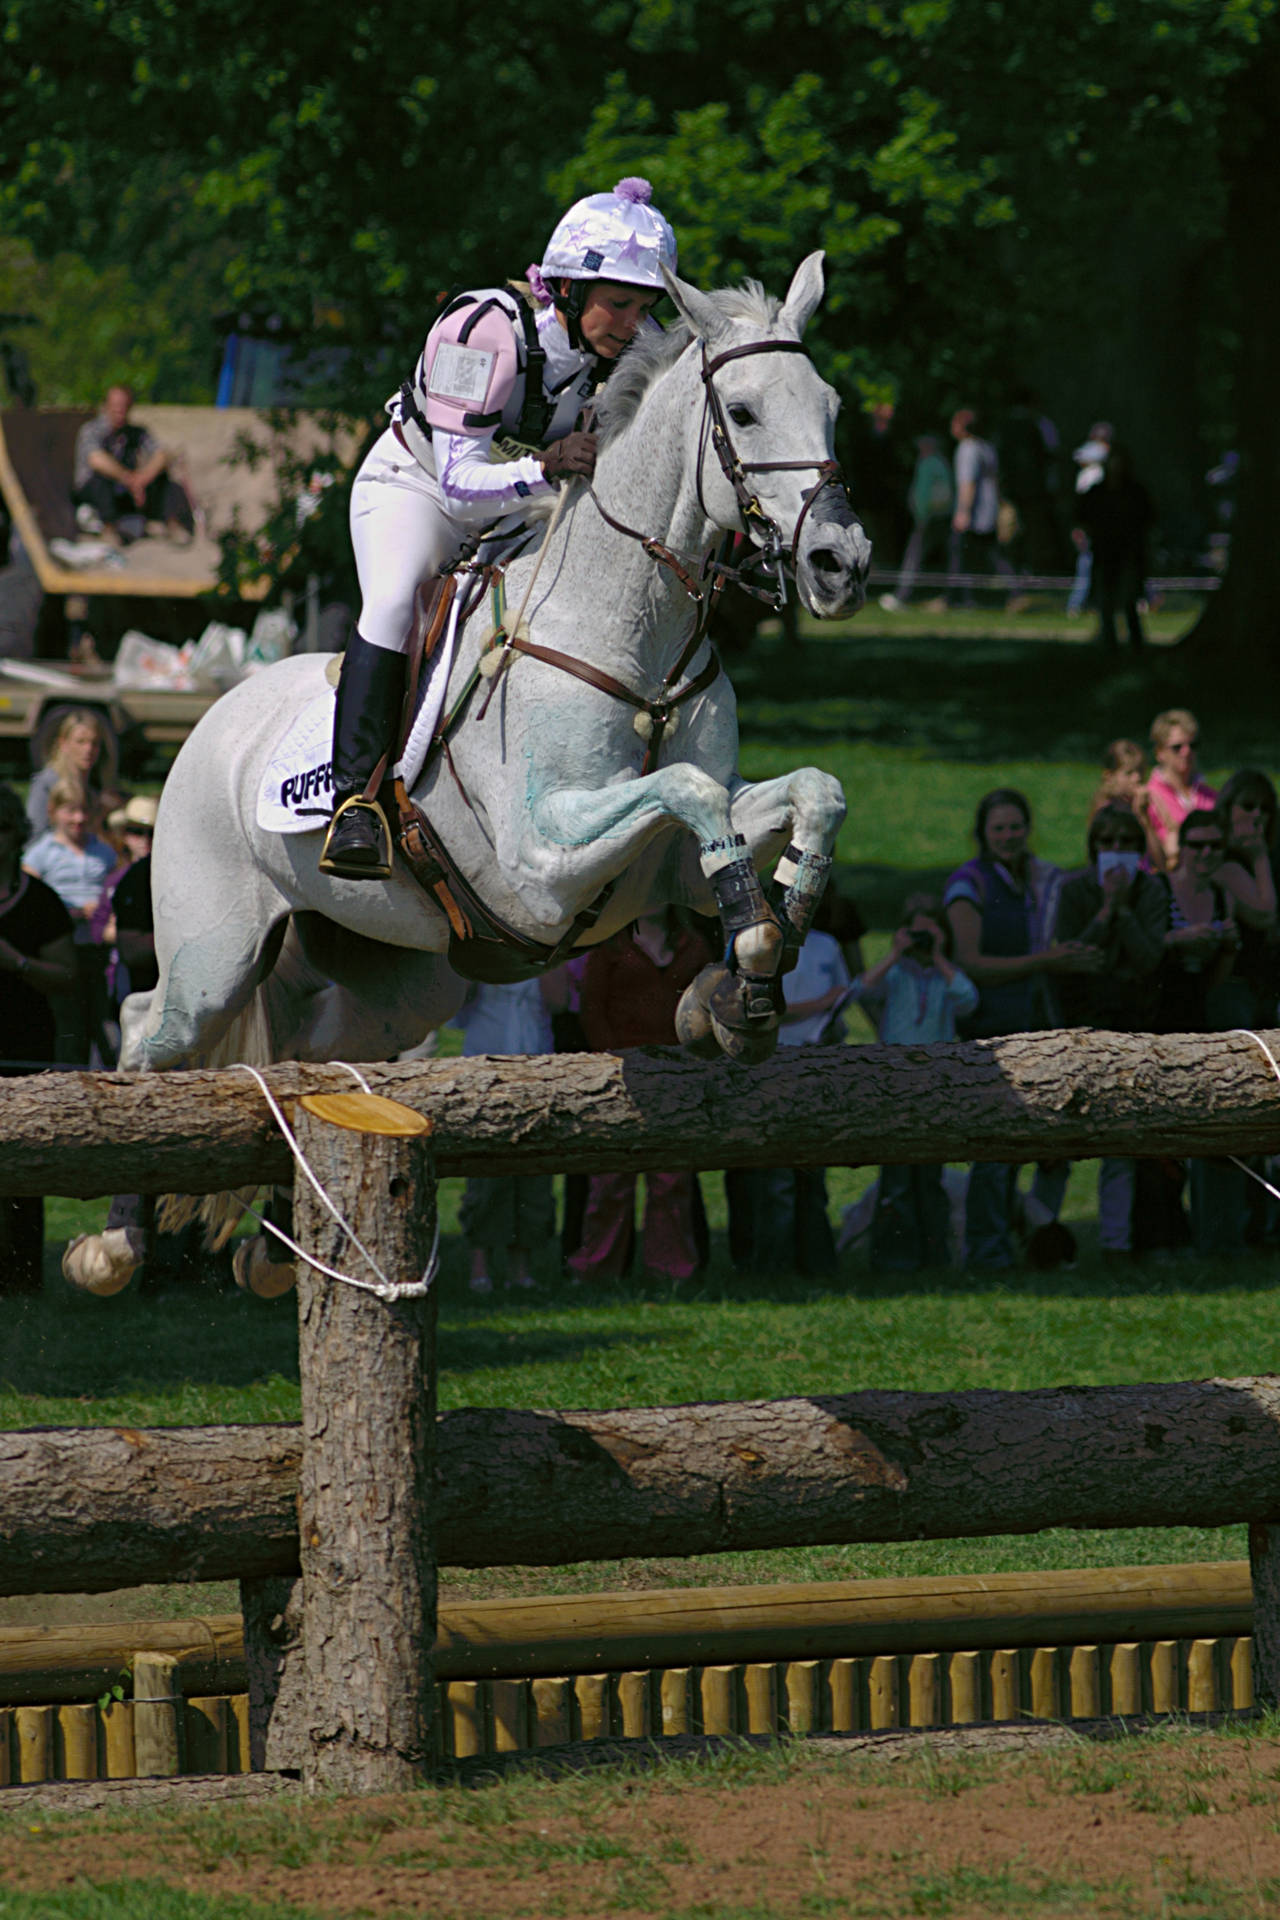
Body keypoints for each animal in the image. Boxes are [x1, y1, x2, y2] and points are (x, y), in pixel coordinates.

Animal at [67, 255, 871, 1297]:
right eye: (741, 411)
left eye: (832, 406)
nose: (841, 564)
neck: (633, 637)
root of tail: (216, 718)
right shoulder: (542, 865)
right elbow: (688, 797)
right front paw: (749, 971)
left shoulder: (662, 871)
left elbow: (807, 796)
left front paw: (741, 983)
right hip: (214, 952)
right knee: (146, 1027)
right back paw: (113, 1244)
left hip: (397, 983)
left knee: (317, 1054)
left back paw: (272, 1247)